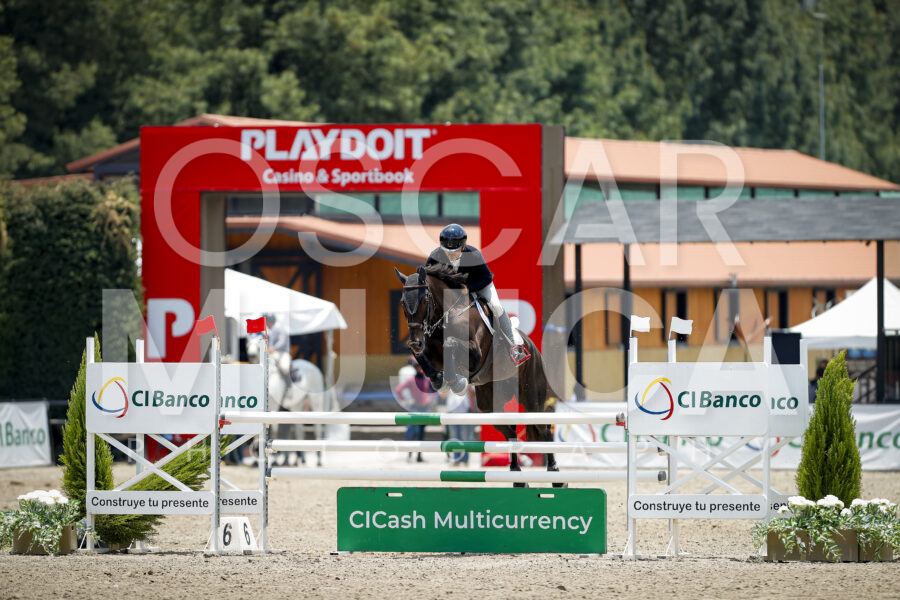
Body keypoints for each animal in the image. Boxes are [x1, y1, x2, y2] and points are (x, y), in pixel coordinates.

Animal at [393, 263, 563, 487]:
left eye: (424, 299)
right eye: (403, 303)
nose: (415, 341)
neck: (447, 314)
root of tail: (532, 347)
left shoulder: (474, 353)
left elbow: (451, 344)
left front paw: (457, 382)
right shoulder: (431, 352)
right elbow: (423, 356)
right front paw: (439, 379)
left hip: (532, 397)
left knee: (543, 428)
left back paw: (556, 475)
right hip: (488, 404)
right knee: (510, 431)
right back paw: (517, 475)